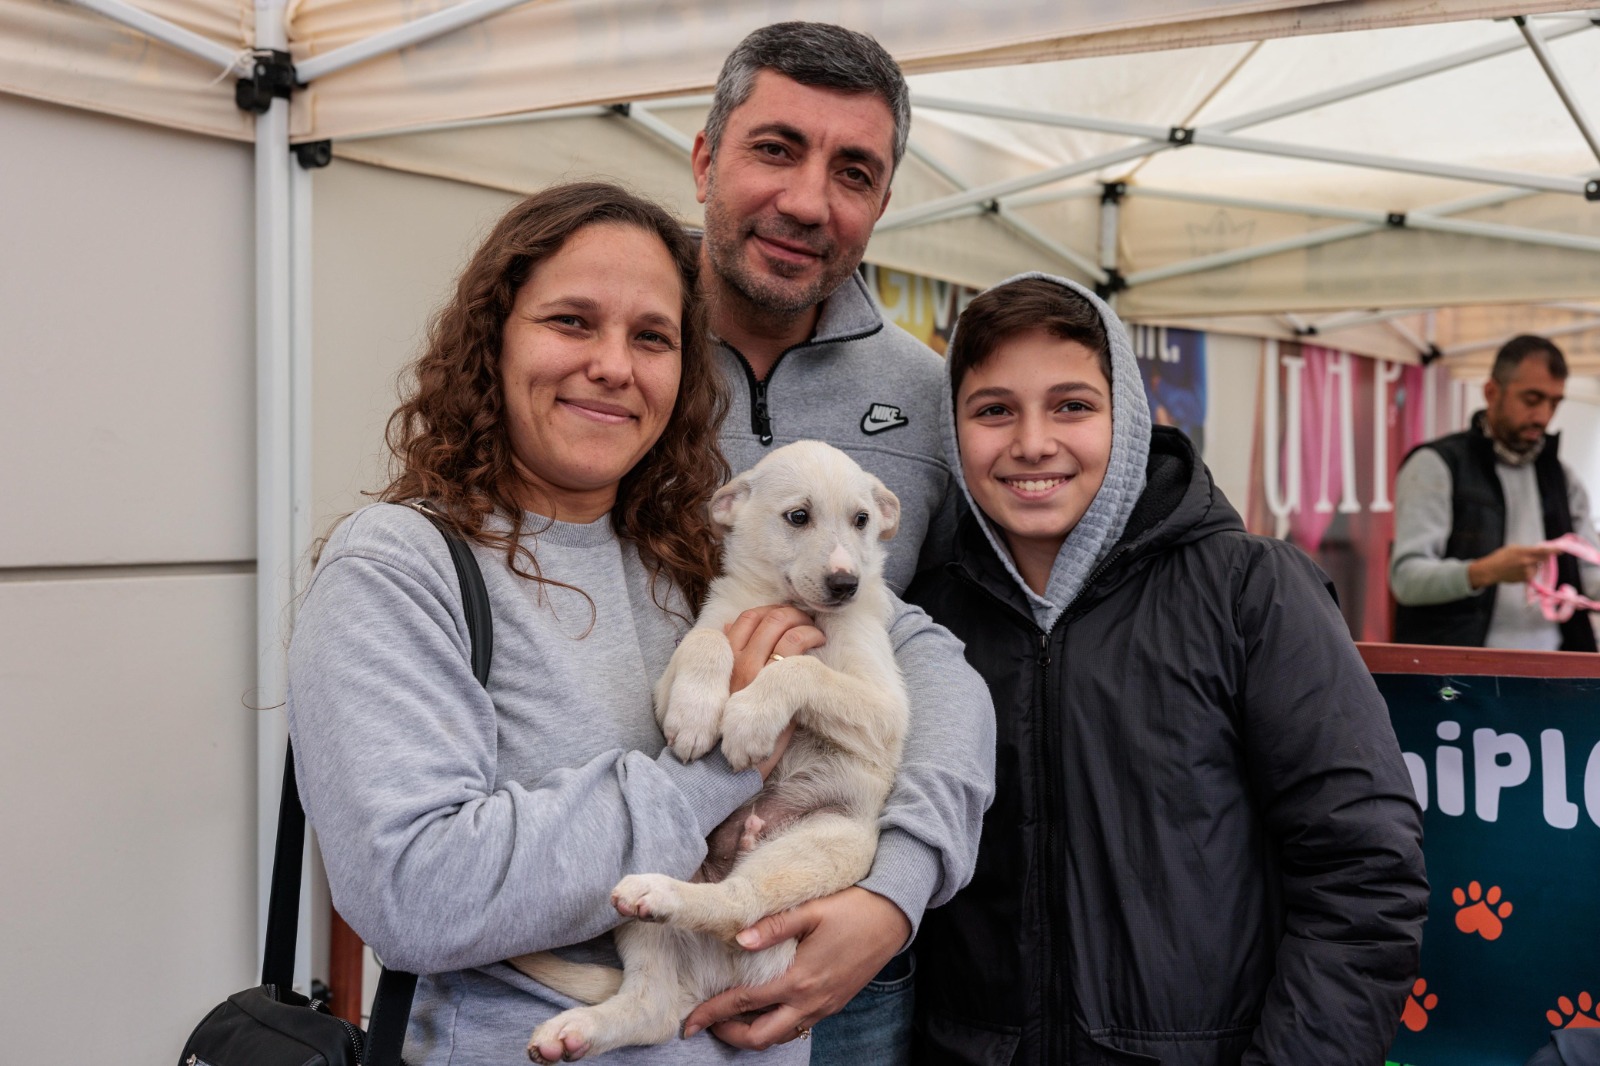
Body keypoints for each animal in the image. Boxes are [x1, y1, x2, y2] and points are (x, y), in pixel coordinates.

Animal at [515, 438, 908, 1056]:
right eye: (799, 516)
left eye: (862, 520)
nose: (846, 584)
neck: (796, 608)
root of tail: (717, 977)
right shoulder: (679, 667)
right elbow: (707, 641)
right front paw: (698, 716)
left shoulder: (887, 708)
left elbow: (798, 668)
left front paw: (748, 719)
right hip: (668, 871)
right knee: (651, 1008)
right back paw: (578, 1026)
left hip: (818, 844)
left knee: (738, 906)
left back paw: (664, 897)